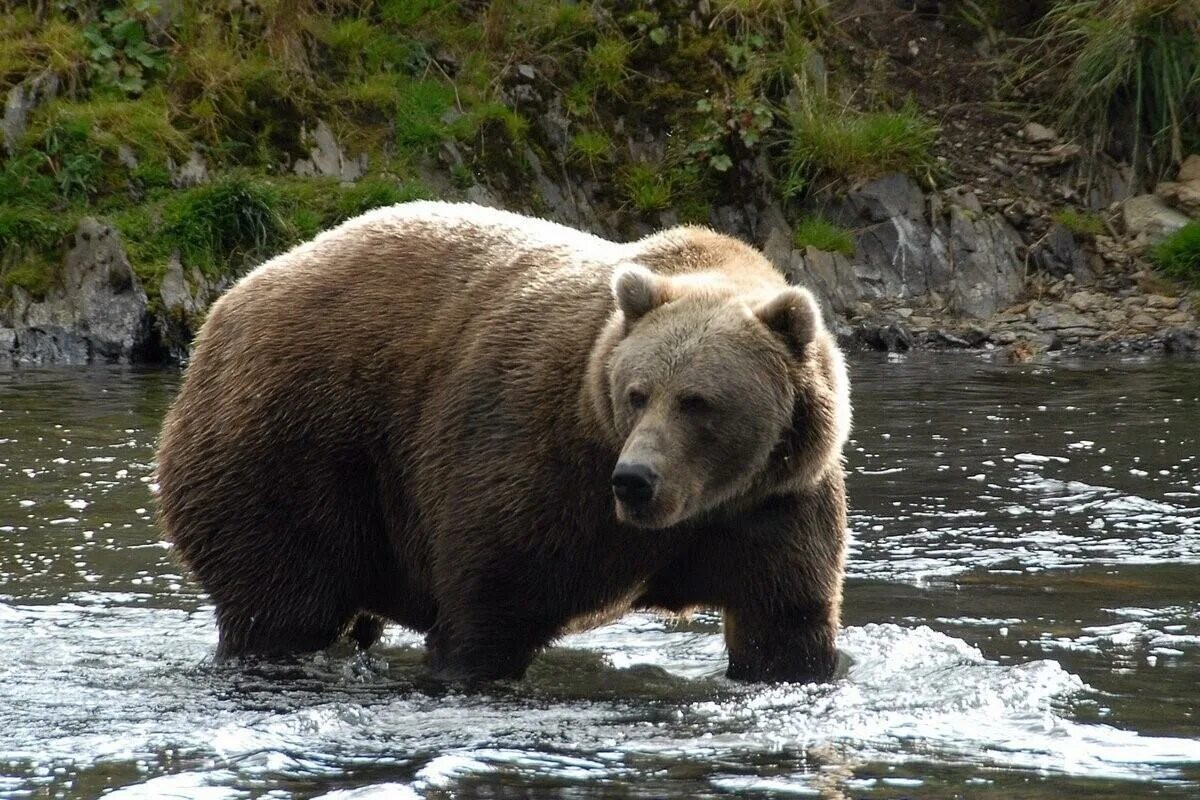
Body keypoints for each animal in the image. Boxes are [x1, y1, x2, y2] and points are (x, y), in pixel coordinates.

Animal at [157, 200, 854, 681]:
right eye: (637, 393)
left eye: (696, 401)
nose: (635, 480)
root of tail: (224, 308)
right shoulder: (538, 462)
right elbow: (489, 606)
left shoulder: (775, 504)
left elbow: (783, 623)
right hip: (290, 446)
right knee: (282, 598)